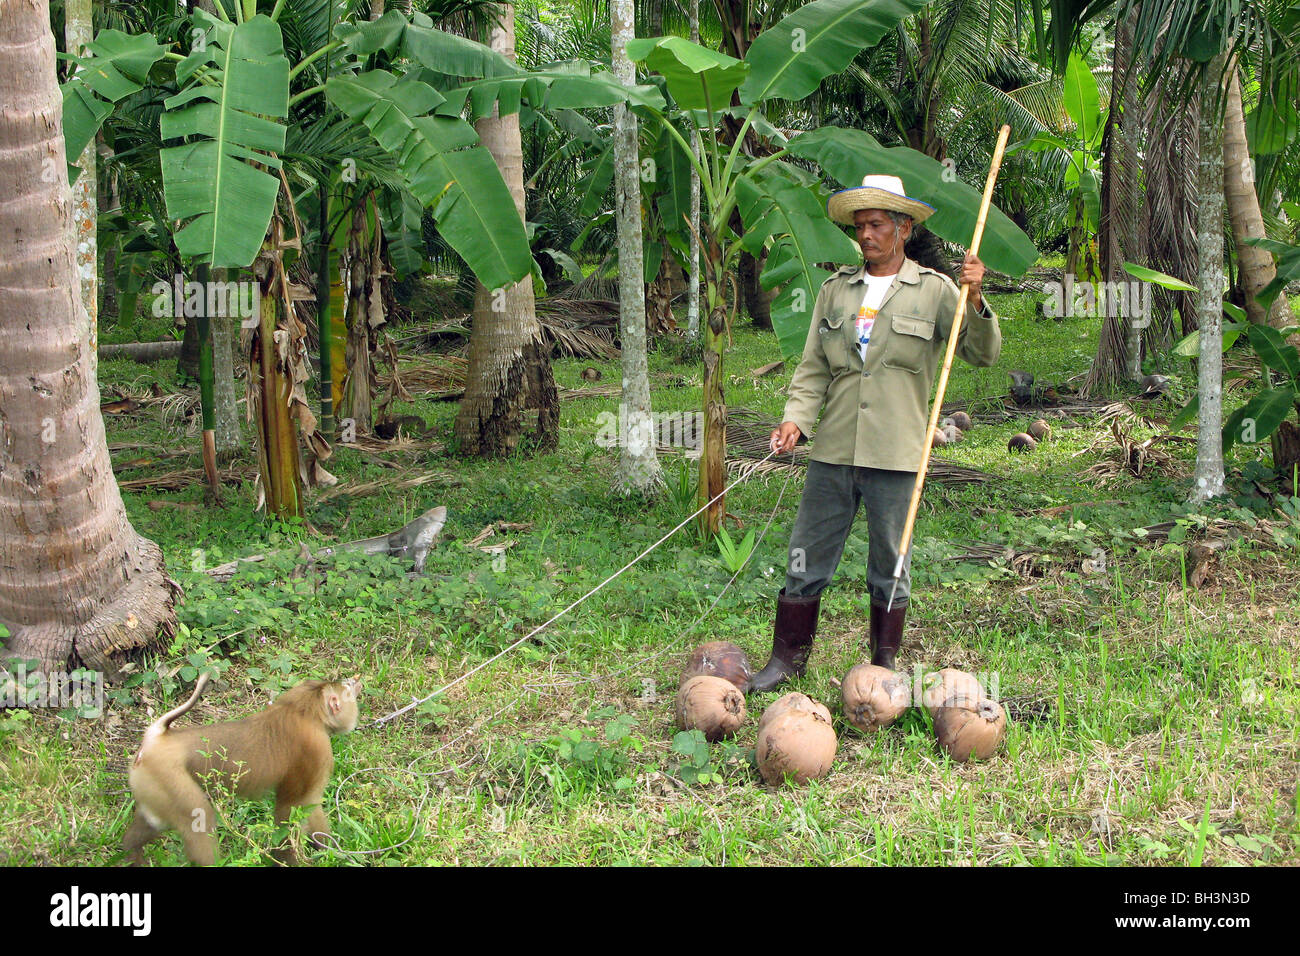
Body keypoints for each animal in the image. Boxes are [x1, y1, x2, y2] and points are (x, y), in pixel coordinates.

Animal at [122, 673, 363, 866]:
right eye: (347, 687)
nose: (354, 680)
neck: (304, 711)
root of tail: (157, 738)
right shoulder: (316, 750)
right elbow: (294, 807)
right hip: (167, 776)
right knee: (197, 817)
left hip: (151, 783)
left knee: (154, 820)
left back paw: (129, 853)